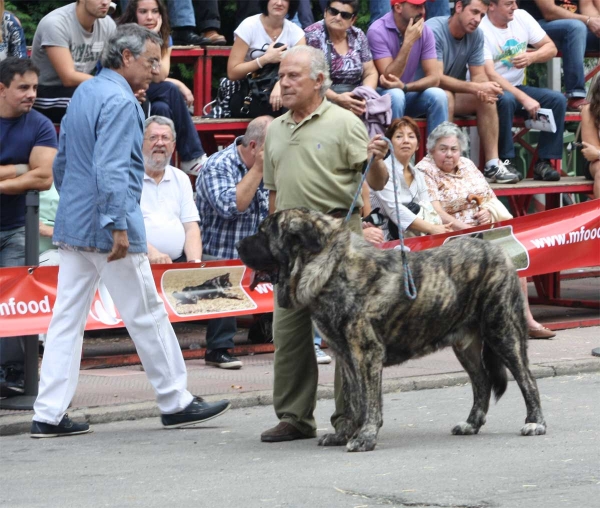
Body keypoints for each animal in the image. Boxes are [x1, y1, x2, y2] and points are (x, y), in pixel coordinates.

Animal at [237, 207, 548, 452]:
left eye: (263, 233)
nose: (238, 245)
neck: (331, 267)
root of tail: (496, 248)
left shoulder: (366, 353)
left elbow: (370, 400)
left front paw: (365, 437)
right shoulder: (346, 356)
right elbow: (354, 400)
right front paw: (344, 434)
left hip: (503, 332)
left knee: (527, 379)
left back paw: (535, 423)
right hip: (466, 346)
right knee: (481, 382)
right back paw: (471, 424)